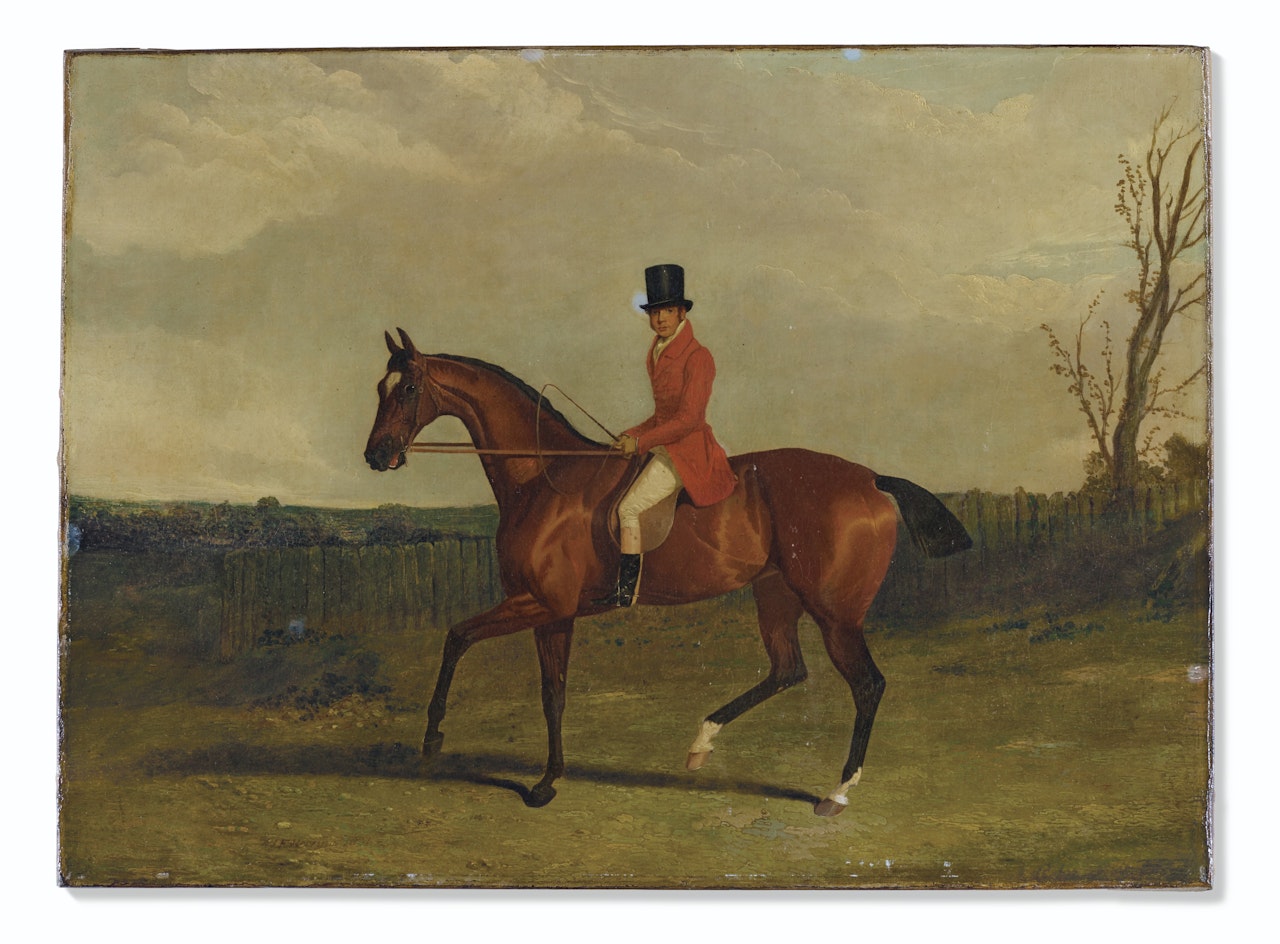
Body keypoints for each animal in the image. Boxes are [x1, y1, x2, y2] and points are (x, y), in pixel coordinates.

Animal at [364, 328, 972, 815]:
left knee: (867, 685)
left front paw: (434, 738)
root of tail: (870, 478)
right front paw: (548, 781)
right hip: (775, 595)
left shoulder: (541, 603)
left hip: (835, 614)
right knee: (787, 670)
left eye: (409, 389)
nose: (376, 455)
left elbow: (457, 637)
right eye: (378, 389)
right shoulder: (553, 613)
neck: (543, 476)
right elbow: (552, 692)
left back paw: (836, 793)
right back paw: (701, 744)